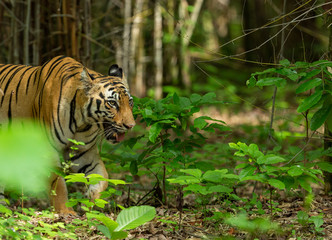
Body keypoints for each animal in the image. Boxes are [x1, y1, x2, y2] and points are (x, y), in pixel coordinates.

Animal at [0, 56, 136, 214]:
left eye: (130, 102)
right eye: (112, 103)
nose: (131, 125)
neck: (83, 121)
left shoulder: (83, 152)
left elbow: (103, 176)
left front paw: (90, 201)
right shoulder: (47, 148)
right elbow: (57, 182)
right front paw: (65, 212)